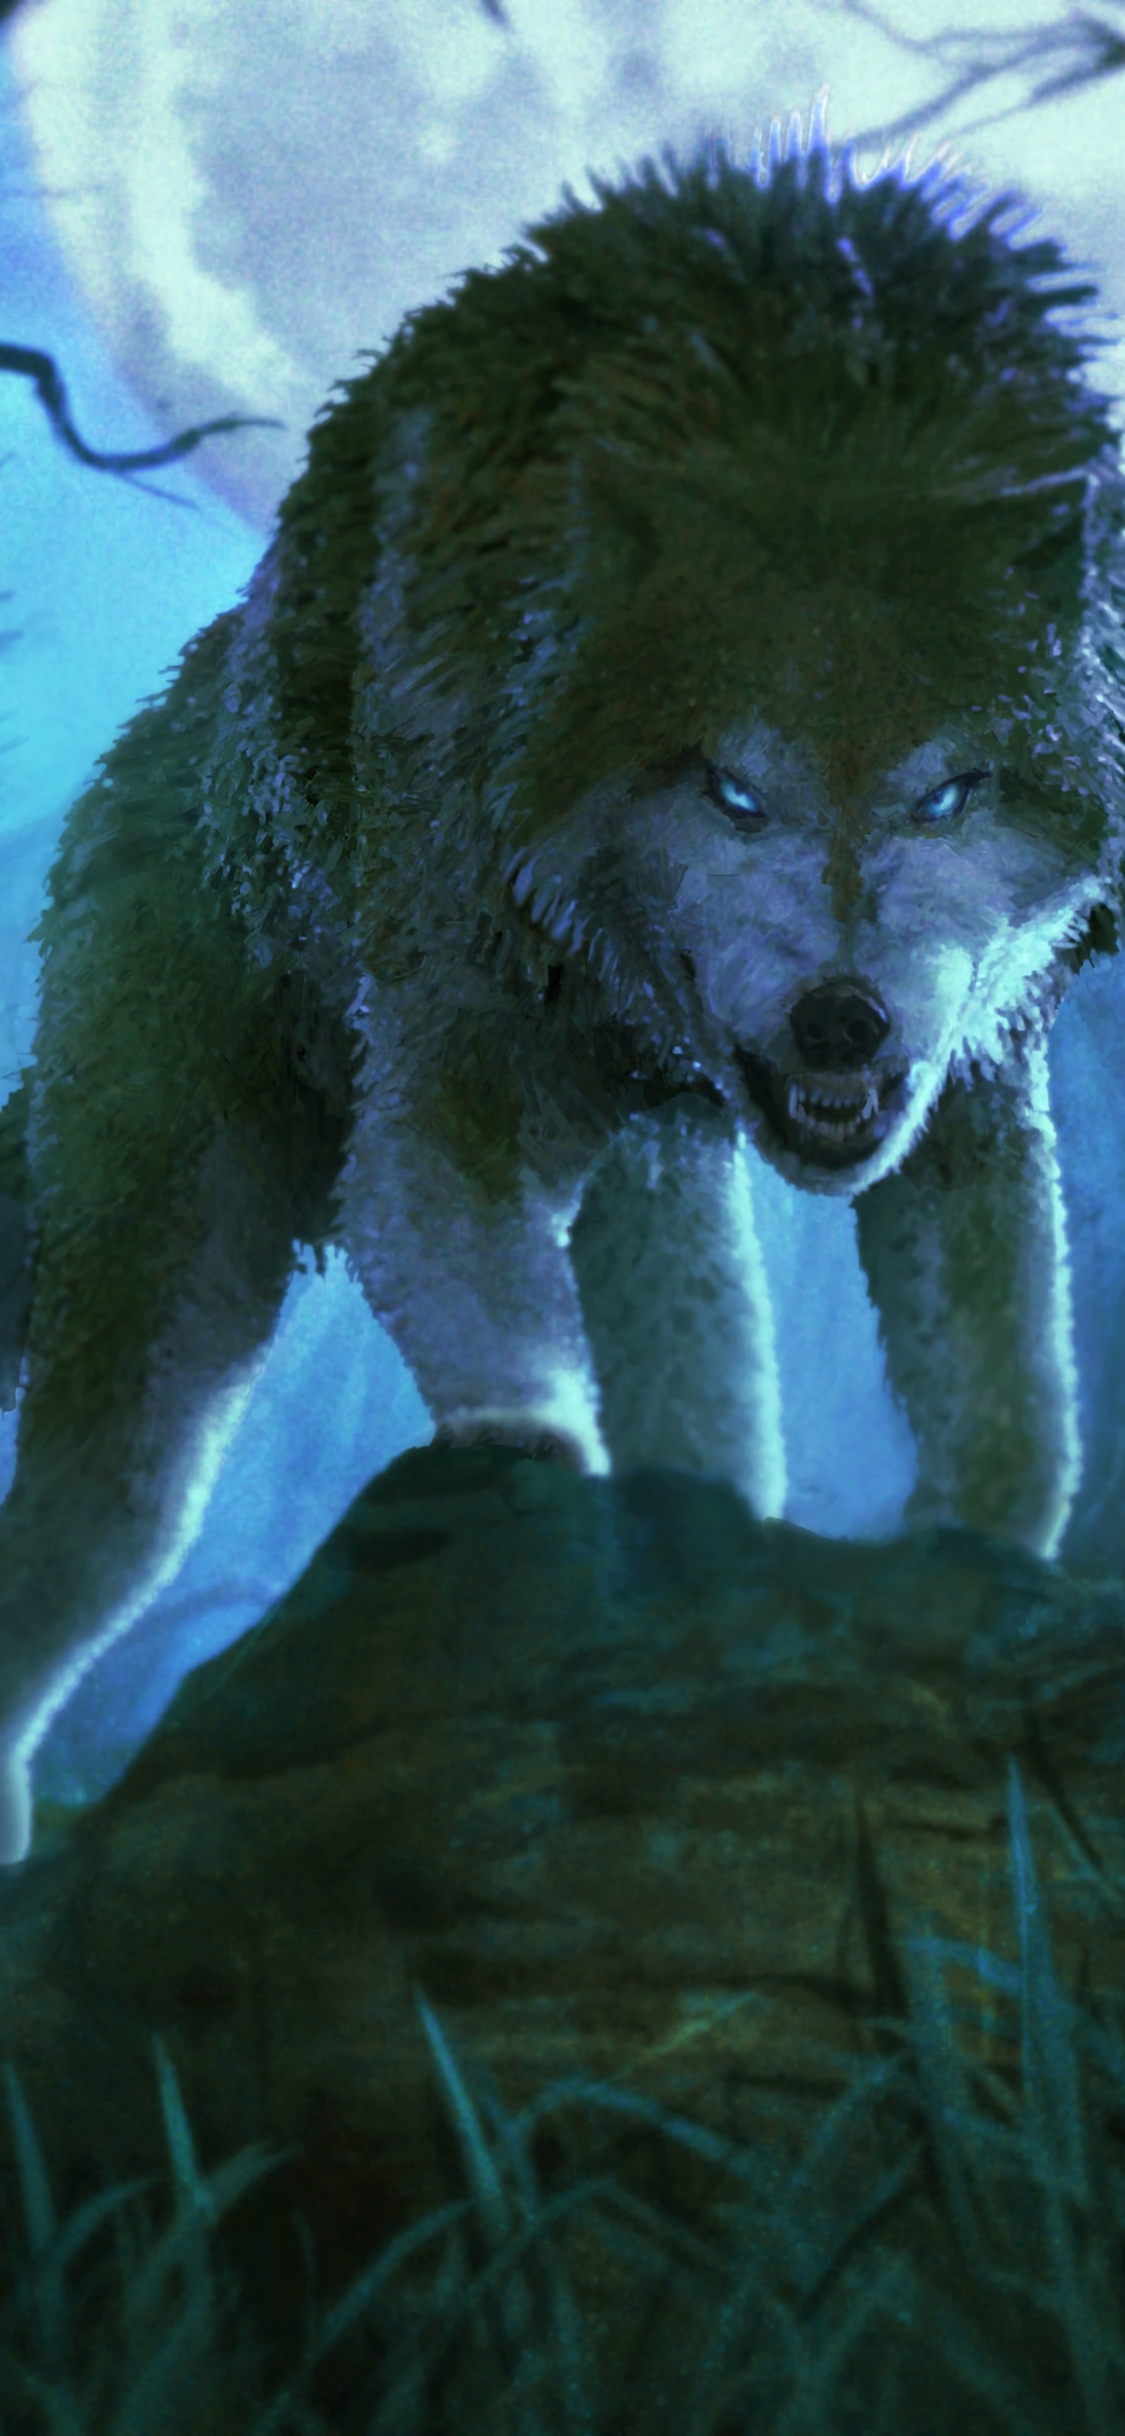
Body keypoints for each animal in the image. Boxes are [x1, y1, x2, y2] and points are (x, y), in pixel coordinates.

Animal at [0, 119, 1122, 1862]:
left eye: (948, 794)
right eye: (732, 790)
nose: (843, 1021)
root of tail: (155, 726)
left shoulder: (964, 1099)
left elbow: (1008, 1387)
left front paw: (972, 1585)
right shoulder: (449, 1079)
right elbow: (509, 1358)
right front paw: (544, 1516)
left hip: (652, 1174)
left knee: (704, 1381)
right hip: (167, 1320)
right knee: (82, 1534)